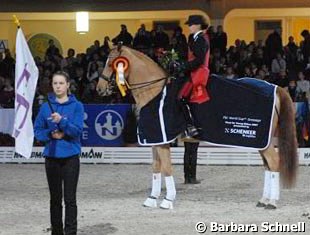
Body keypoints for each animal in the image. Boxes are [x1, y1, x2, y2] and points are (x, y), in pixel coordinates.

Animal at [96, 45, 298, 209]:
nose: (99, 89)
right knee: (268, 165)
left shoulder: (162, 139)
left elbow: (166, 168)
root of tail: (275, 87)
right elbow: (155, 167)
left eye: (111, 63)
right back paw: (264, 200)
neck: (155, 92)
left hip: (260, 138)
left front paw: (168, 200)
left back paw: (272, 202)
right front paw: (151, 199)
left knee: (274, 162)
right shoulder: (155, 139)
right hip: (261, 141)